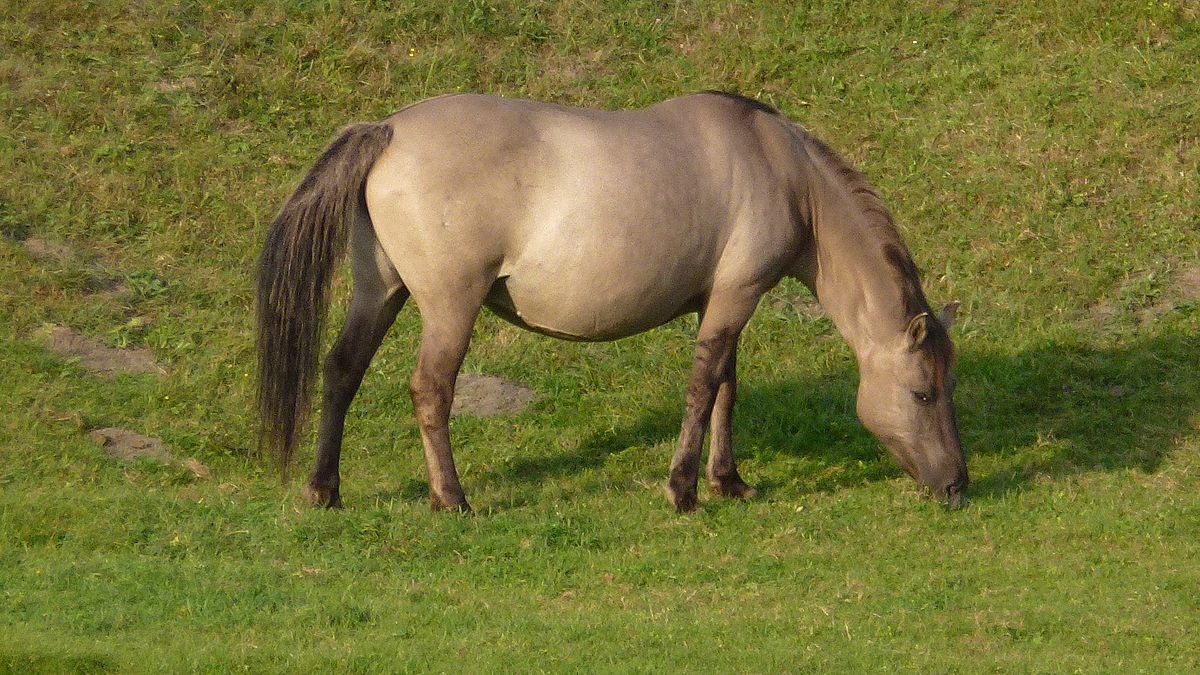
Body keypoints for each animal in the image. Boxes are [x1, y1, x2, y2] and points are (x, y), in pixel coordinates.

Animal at [256, 91, 967, 513]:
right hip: (449, 308)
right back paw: (450, 498)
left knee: (342, 370)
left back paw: (325, 490)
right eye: (923, 392)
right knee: (430, 390)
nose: (958, 486)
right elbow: (704, 386)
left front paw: (728, 481)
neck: (783, 170)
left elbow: (726, 388)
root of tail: (388, 130)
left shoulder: (722, 300)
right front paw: (684, 490)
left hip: (380, 291)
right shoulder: (736, 296)